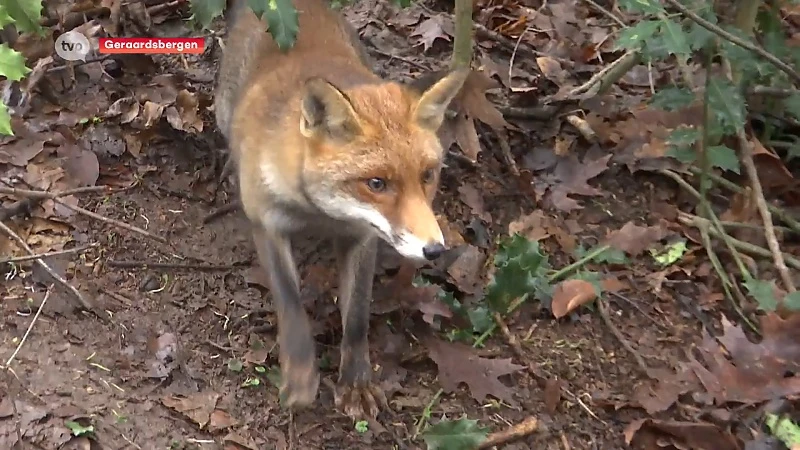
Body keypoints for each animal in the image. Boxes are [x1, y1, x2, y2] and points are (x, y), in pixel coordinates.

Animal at [212, 0, 468, 418]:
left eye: (428, 175)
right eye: (377, 184)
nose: (434, 250)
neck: (320, 214)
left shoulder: (361, 237)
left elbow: (358, 316)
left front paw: (356, 381)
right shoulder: (268, 224)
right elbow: (291, 303)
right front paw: (301, 374)